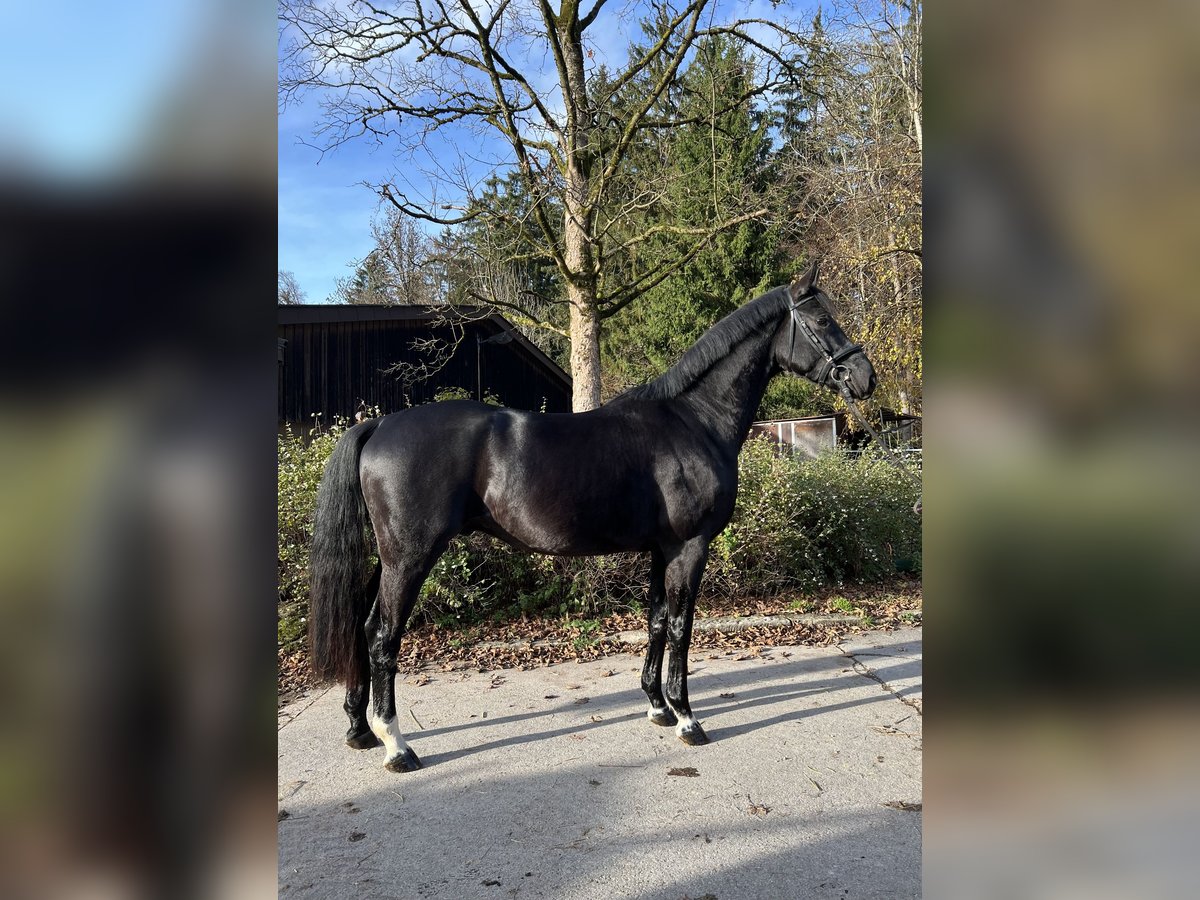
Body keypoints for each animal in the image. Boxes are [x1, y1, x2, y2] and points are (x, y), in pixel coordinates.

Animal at [307, 260, 877, 772]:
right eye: (822, 319)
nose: (865, 378)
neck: (694, 421)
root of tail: (380, 425)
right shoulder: (690, 547)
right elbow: (681, 627)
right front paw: (688, 719)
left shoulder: (661, 549)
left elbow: (656, 620)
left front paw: (657, 707)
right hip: (410, 557)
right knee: (383, 635)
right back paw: (396, 746)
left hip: (388, 558)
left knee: (361, 625)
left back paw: (360, 729)